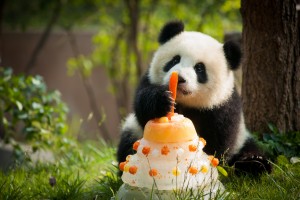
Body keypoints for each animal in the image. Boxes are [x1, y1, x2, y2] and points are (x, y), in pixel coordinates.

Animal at [118, 20, 272, 175]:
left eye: (199, 68)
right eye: (175, 60)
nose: (179, 78)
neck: (186, 103)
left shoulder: (223, 106)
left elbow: (218, 142)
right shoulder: (148, 81)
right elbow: (143, 109)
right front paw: (163, 101)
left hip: (242, 139)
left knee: (250, 150)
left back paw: (254, 164)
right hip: (133, 131)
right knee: (128, 145)